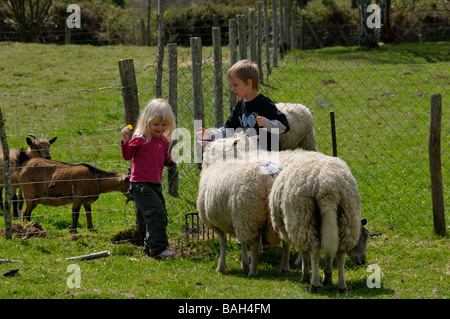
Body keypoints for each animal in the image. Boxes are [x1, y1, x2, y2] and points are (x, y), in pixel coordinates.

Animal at [268, 151, 370, 294]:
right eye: (363, 237)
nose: (362, 261)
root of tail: (327, 186)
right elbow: (328, 251)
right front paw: (328, 276)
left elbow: (304, 253)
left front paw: (305, 276)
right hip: (347, 214)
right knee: (340, 250)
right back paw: (341, 286)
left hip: (303, 216)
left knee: (314, 249)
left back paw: (314, 284)